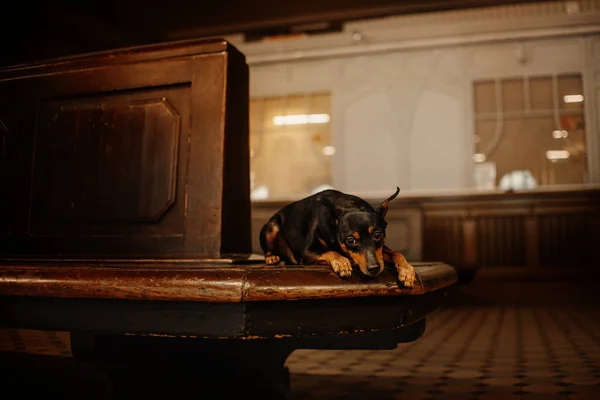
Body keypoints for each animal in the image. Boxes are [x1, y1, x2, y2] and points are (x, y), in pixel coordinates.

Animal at [258, 188, 418, 288]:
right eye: (351, 240)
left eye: (377, 235)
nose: (374, 269)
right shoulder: (308, 252)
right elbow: (331, 252)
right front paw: (342, 262)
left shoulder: (381, 250)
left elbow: (397, 253)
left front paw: (407, 271)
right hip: (272, 227)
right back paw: (272, 257)